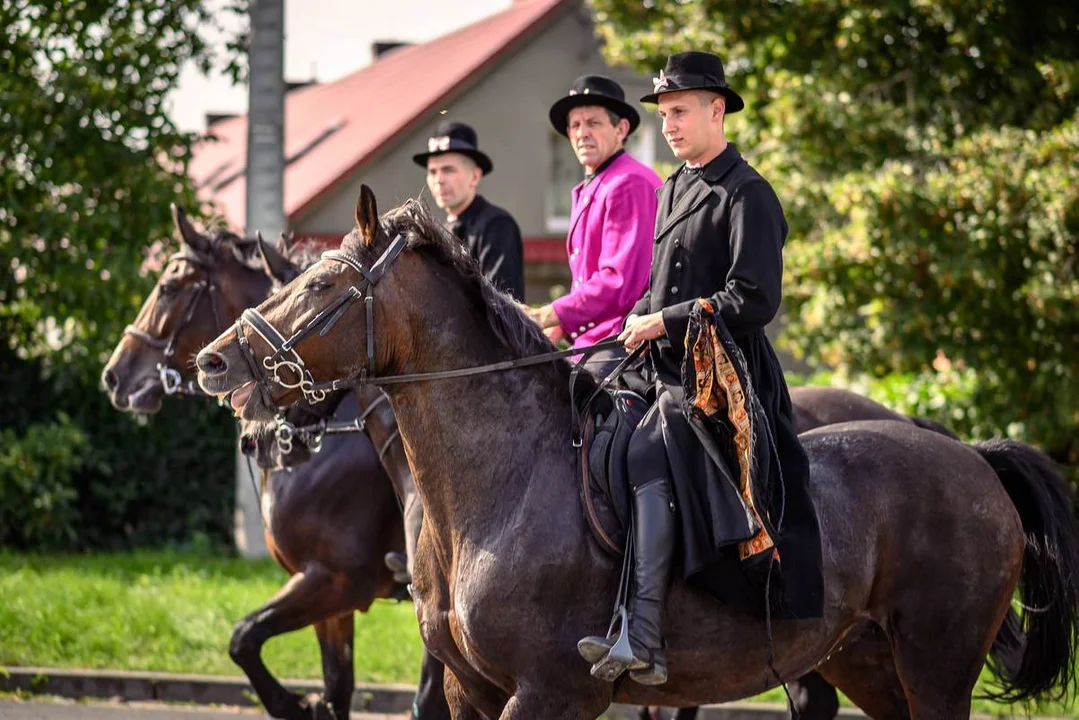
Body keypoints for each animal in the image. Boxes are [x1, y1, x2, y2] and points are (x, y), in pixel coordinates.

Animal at [104, 208, 446, 720]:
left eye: (167, 288)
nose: (114, 375)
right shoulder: (329, 597)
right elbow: (335, 685)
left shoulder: (338, 580)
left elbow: (244, 637)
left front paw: (291, 703)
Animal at [196, 187, 1079, 720]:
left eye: (321, 287)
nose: (215, 362)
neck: (496, 485)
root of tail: (971, 458)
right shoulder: (463, 684)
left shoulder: (546, 692)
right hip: (863, 658)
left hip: (934, 661)